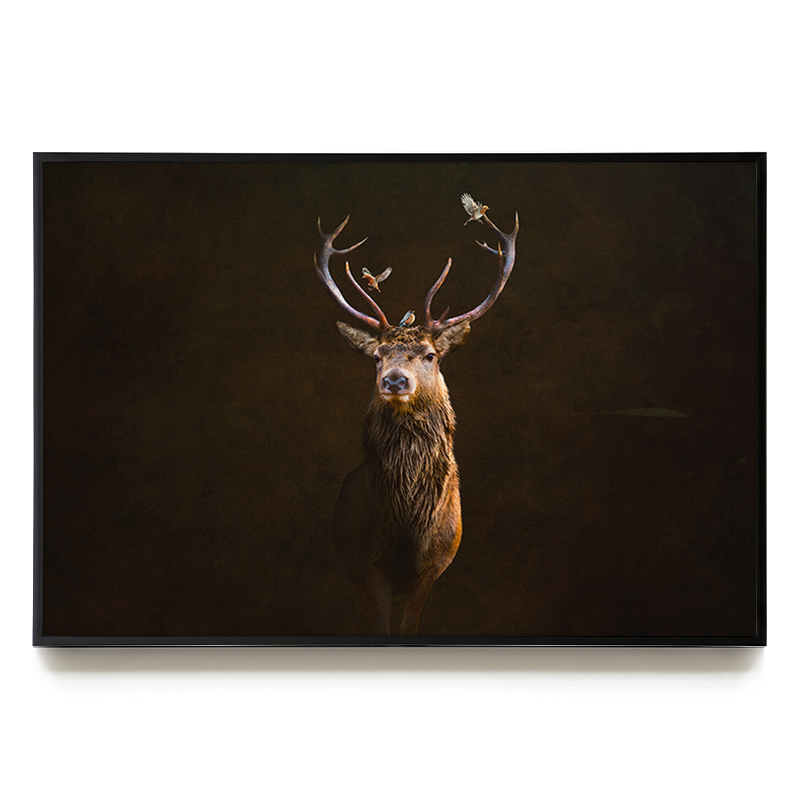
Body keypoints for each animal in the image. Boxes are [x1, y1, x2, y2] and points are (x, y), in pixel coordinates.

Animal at [314, 206, 519, 635]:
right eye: (377, 356)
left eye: (430, 354)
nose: (394, 380)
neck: (409, 524)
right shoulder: (368, 564)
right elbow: (378, 626)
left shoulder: (434, 567)